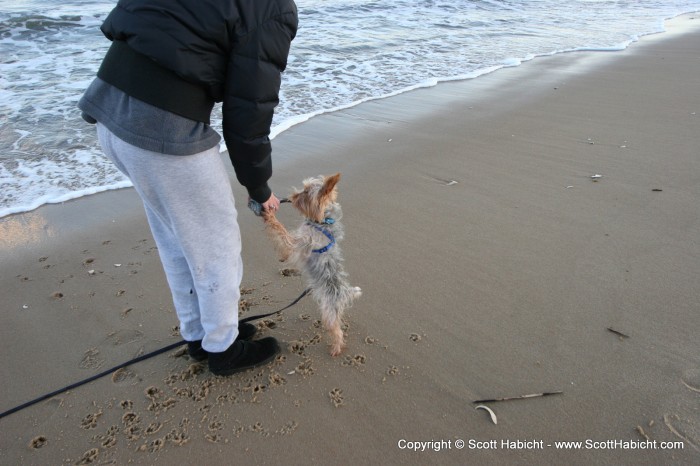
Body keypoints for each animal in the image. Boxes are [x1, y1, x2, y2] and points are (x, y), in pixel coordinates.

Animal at [262, 173, 360, 354]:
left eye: (306, 193)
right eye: (303, 189)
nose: (292, 196)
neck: (323, 221)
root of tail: (345, 292)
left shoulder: (297, 243)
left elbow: (280, 230)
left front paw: (269, 215)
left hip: (329, 310)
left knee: (337, 330)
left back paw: (336, 348)